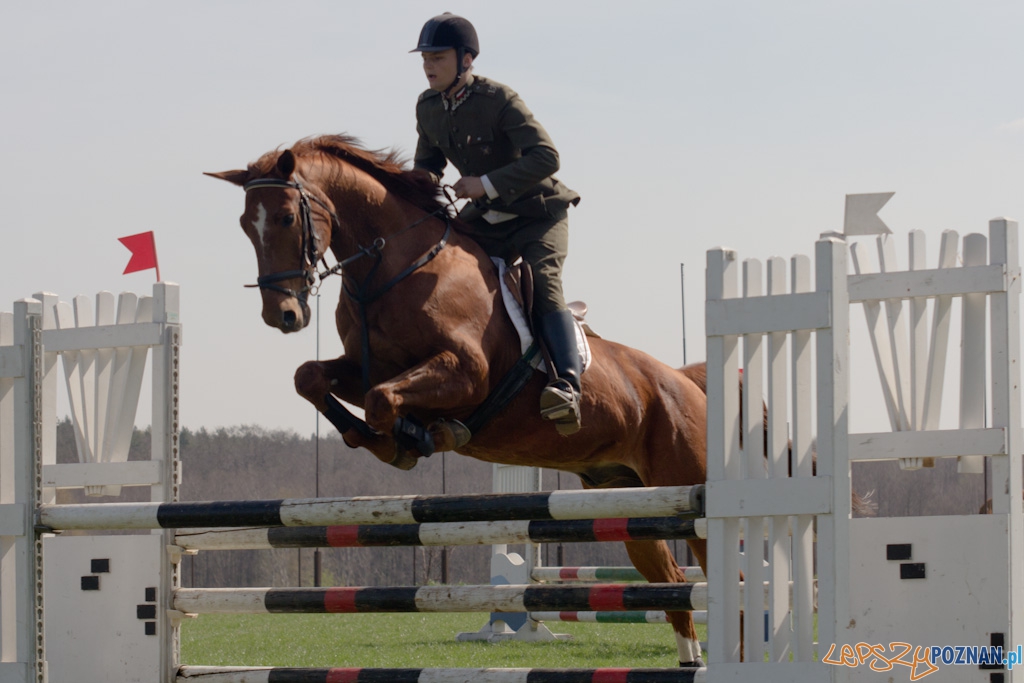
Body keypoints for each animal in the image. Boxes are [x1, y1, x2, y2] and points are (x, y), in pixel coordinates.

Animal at [208, 135, 712, 667]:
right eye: (245, 225)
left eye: (286, 217)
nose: (282, 314)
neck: (394, 268)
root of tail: (681, 381)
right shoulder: (366, 368)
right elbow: (313, 379)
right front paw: (385, 437)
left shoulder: (466, 373)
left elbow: (383, 402)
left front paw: (413, 438)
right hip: (622, 498)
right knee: (671, 581)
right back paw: (690, 659)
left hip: (684, 486)